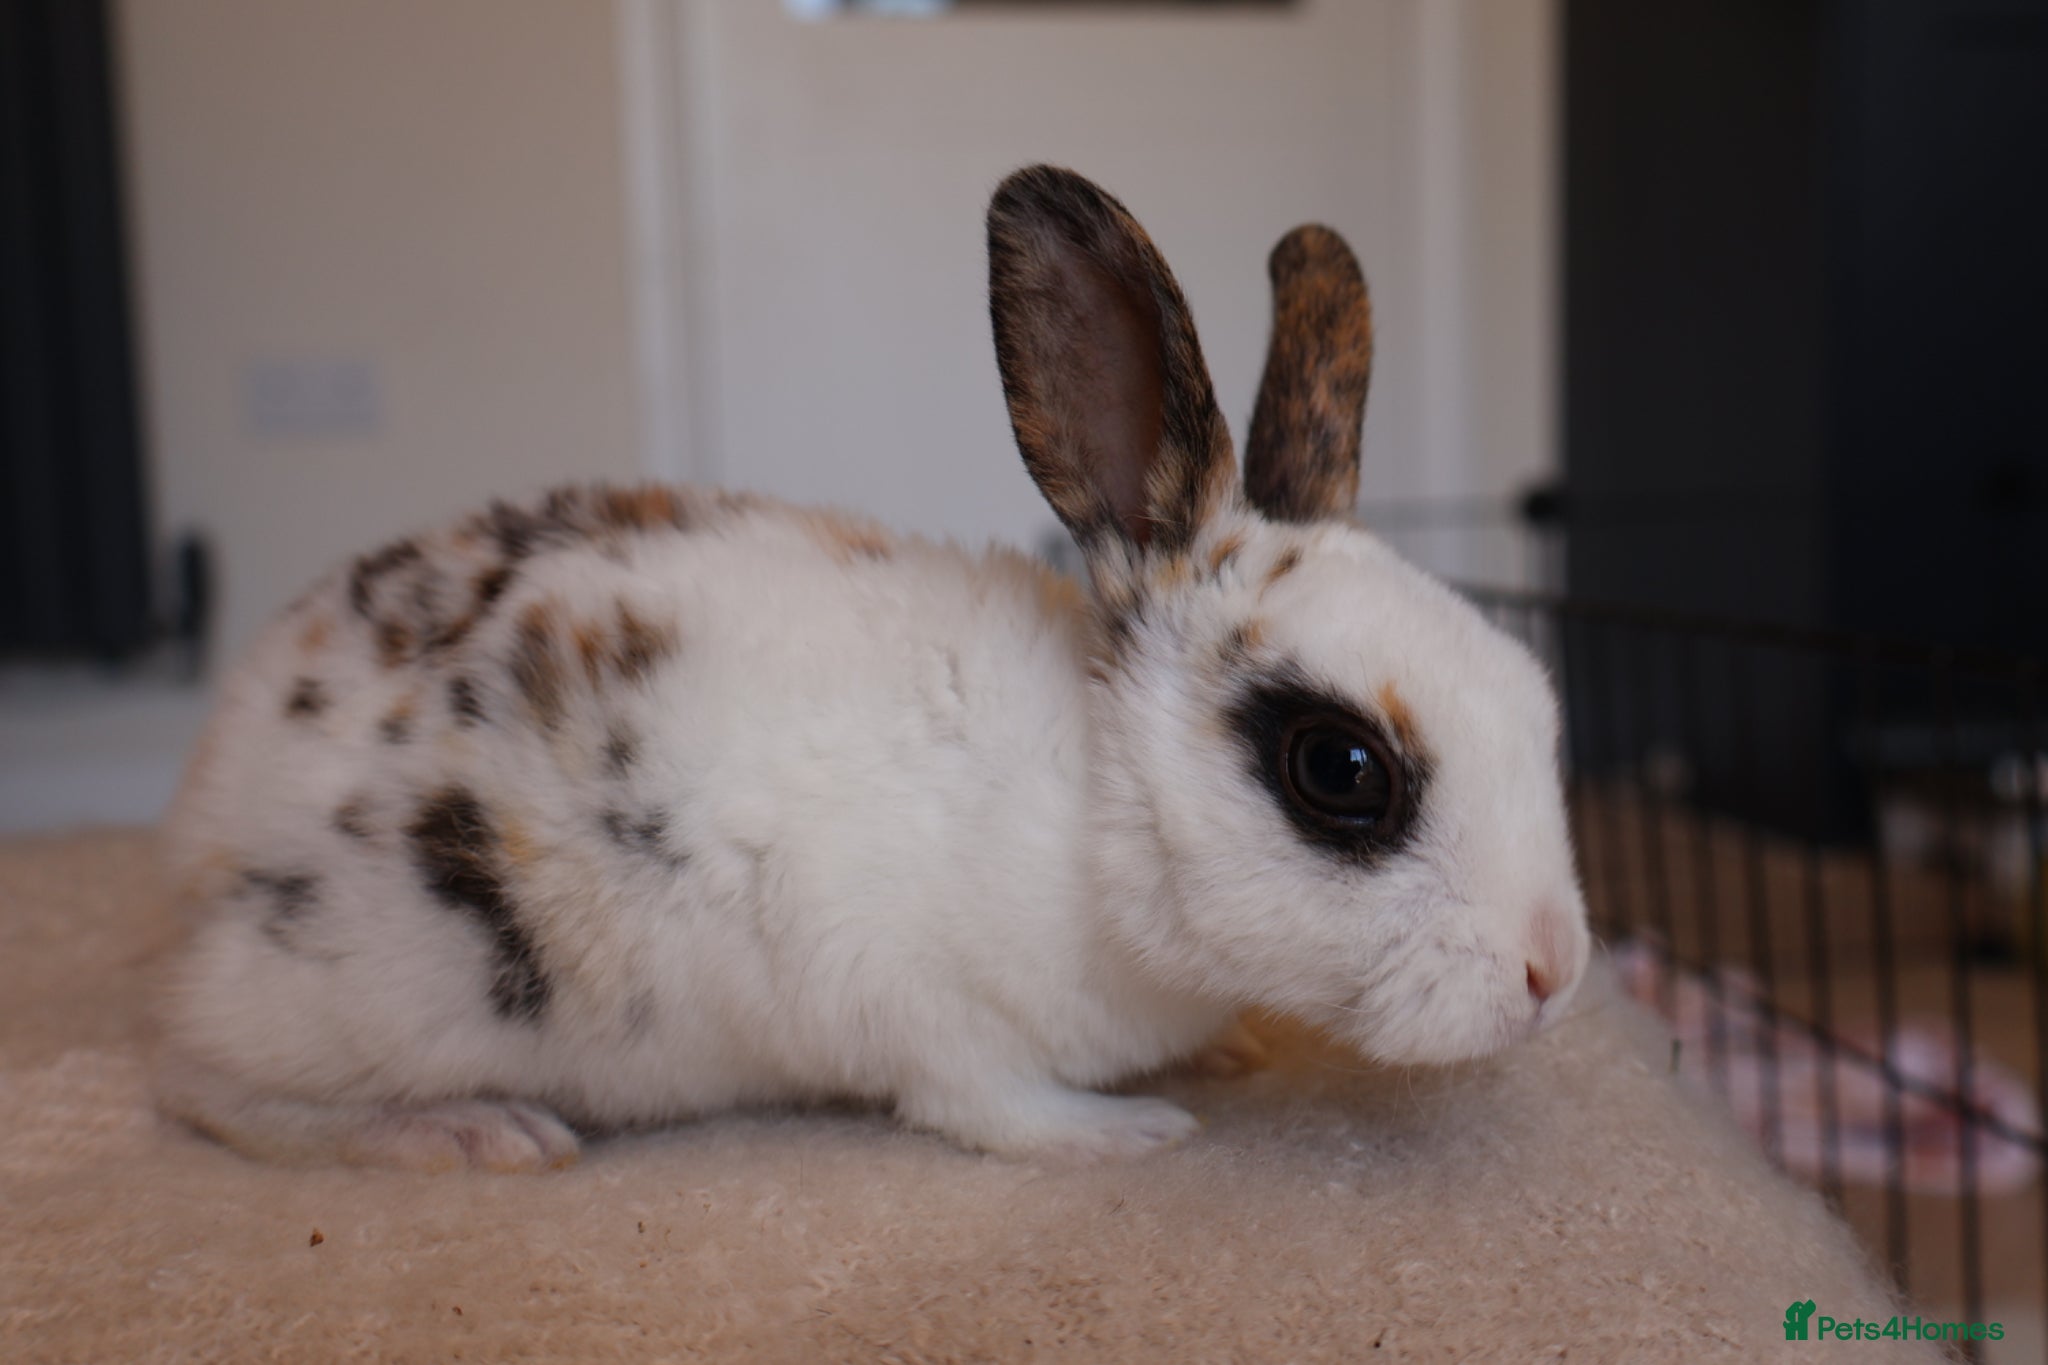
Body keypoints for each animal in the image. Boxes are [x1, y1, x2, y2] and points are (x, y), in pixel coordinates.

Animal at [151, 165, 1591, 1173]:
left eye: (1532, 698)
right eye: (1339, 768)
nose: (1555, 974)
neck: (1094, 809)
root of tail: (208, 810)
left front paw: (1230, 1048)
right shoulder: (907, 997)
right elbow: (987, 1103)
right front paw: (1124, 1133)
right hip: (370, 992)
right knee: (210, 1088)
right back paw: (469, 1132)